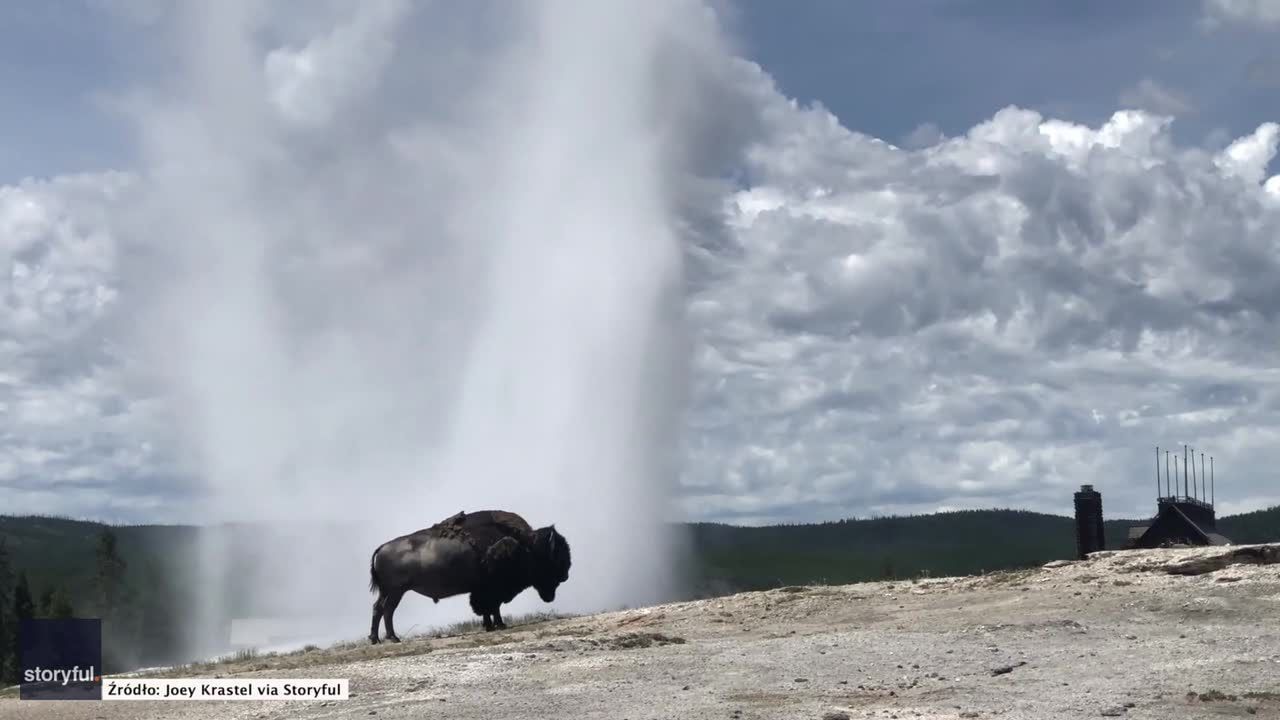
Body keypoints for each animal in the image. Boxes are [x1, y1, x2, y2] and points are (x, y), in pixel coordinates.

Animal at [368, 507, 573, 640]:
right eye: (555, 554)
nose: (565, 576)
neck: (525, 545)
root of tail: (381, 548)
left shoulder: (485, 590)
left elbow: (490, 608)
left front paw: (493, 625)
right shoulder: (490, 589)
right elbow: (491, 607)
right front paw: (498, 625)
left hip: (389, 592)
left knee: (379, 608)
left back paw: (376, 639)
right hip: (396, 591)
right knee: (387, 610)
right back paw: (392, 638)